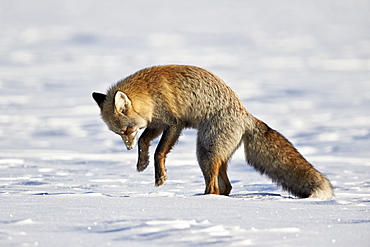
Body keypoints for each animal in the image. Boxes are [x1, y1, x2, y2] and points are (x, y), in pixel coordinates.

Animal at [93, 64, 336, 200]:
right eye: (119, 133)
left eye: (127, 130)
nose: (127, 147)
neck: (150, 92)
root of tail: (245, 115)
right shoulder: (156, 123)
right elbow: (144, 142)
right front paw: (141, 162)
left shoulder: (173, 122)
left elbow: (159, 151)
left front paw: (160, 176)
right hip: (215, 155)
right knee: (226, 186)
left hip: (205, 152)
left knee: (215, 187)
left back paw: (204, 201)